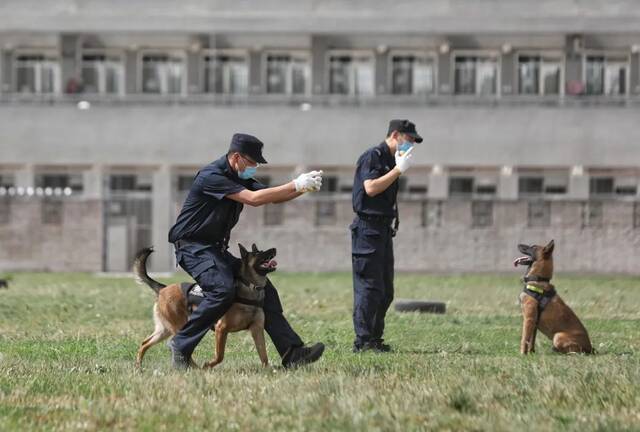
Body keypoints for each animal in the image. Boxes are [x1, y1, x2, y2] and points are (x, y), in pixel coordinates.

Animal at [132, 243, 278, 368]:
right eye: (258, 253)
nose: (274, 249)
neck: (250, 287)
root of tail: (163, 288)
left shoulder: (257, 329)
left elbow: (264, 356)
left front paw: (268, 371)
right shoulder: (221, 329)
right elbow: (220, 356)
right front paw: (208, 365)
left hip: (164, 329)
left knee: (145, 343)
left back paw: (139, 366)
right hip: (180, 327)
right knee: (178, 345)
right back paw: (194, 368)